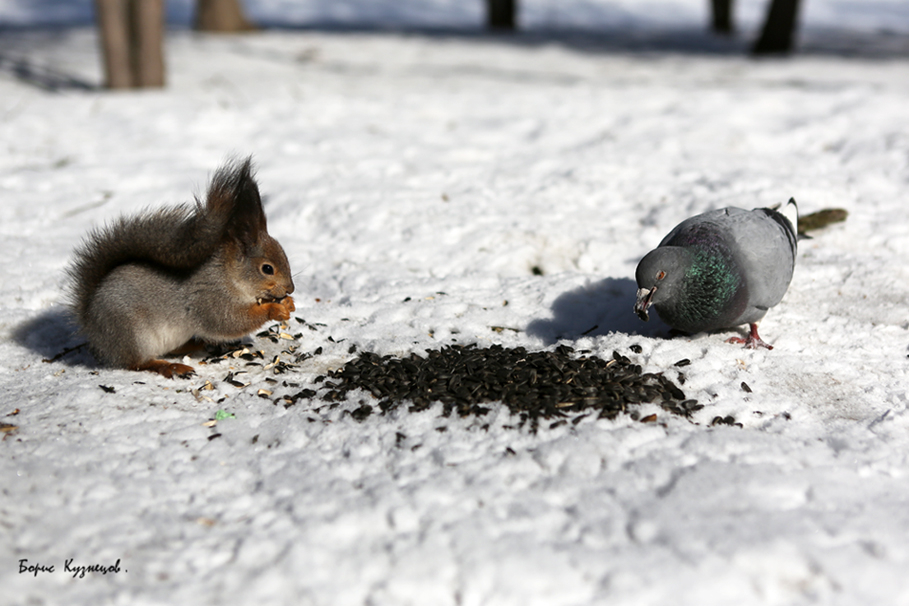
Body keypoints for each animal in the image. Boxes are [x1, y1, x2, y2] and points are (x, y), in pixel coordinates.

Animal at [67, 159, 294, 378]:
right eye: (267, 268)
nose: (290, 289)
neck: (228, 276)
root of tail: (92, 328)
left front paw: (288, 304)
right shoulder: (209, 299)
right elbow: (229, 321)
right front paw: (274, 309)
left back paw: (199, 343)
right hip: (132, 334)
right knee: (137, 363)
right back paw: (171, 367)